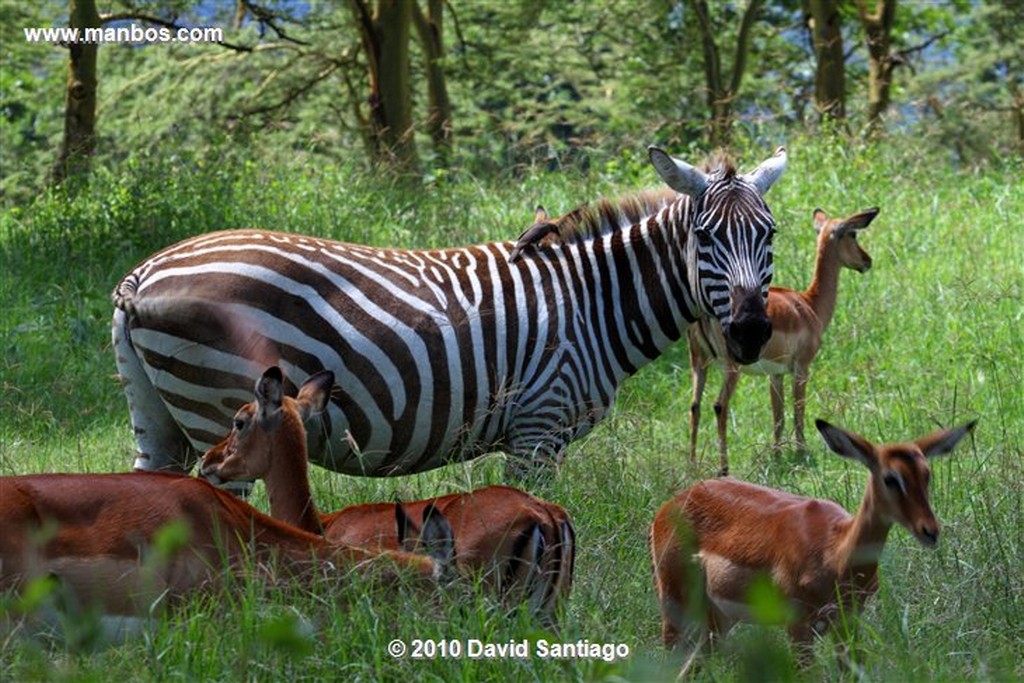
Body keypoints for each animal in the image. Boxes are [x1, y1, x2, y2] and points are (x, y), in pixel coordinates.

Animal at [112, 145, 782, 475]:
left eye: (770, 234)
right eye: (706, 237)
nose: (752, 332)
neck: (593, 302)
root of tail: (141, 274)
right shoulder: (537, 430)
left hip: (163, 419)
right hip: (219, 410)